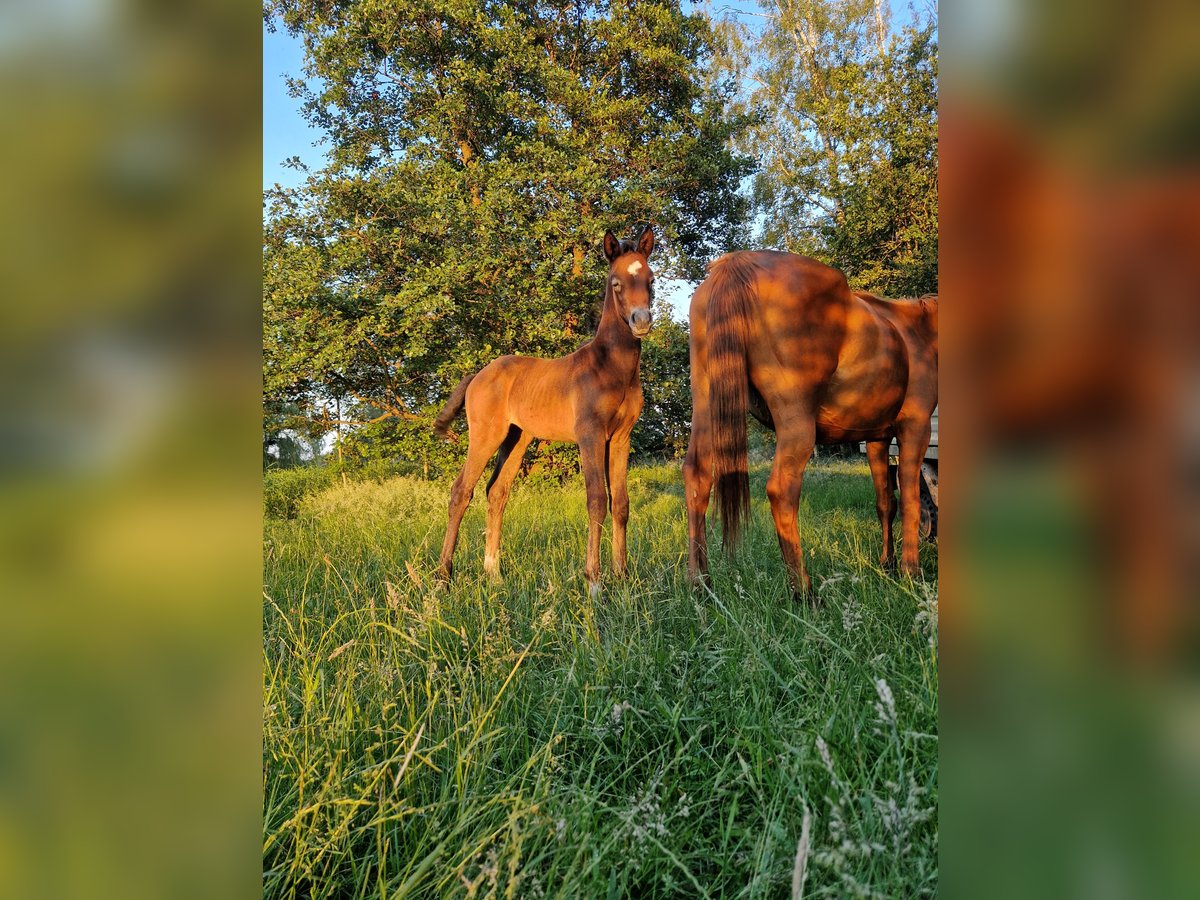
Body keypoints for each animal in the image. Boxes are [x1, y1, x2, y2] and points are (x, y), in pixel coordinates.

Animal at [434, 225, 657, 595]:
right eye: (615, 282)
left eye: (651, 279)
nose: (641, 321)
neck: (609, 367)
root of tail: (479, 374)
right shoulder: (590, 435)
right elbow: (596, 500)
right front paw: (595, 582)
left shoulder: (621, 438)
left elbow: (621, 504)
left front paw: (623, 577)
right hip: (486, 435)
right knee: (460, 491)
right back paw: (442, 577)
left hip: (517, 438)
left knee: (497, 492)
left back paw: (493, 573)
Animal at [686, 252, 936, 607]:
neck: (918, 333)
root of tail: (737, 263)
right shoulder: (915, 427)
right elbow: (913, 501)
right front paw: (911, 573)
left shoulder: (877, 438)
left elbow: (885, 502)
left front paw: (887, 564)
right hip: (797, 423)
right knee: (782, 490)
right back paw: (803, 592)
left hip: (707, 406)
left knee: (697, 479)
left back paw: (701, 586)